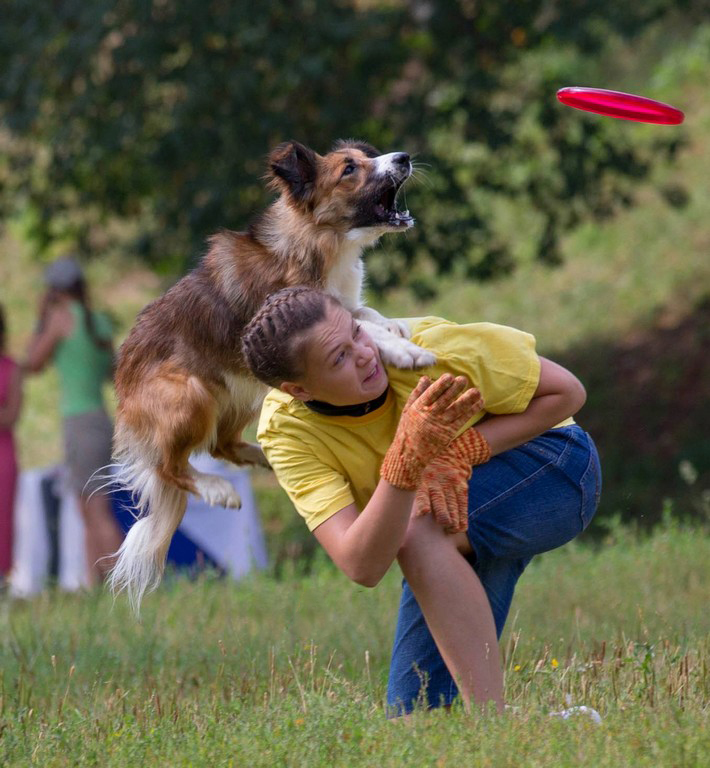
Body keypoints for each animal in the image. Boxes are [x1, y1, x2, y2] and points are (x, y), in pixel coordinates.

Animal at [110, 140, 434, 612]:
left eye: (366, 155)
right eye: (349, 169)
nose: (404, 158)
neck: (319, 240)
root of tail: (122, 390)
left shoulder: (339, 304)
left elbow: (366, 313)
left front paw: (395, 327)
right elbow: (363, 329)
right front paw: (405, 351)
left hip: (242, 390)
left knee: (222, 445)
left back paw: (264, 459)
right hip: (193, 393)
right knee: (170, 465)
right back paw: (216, 489)